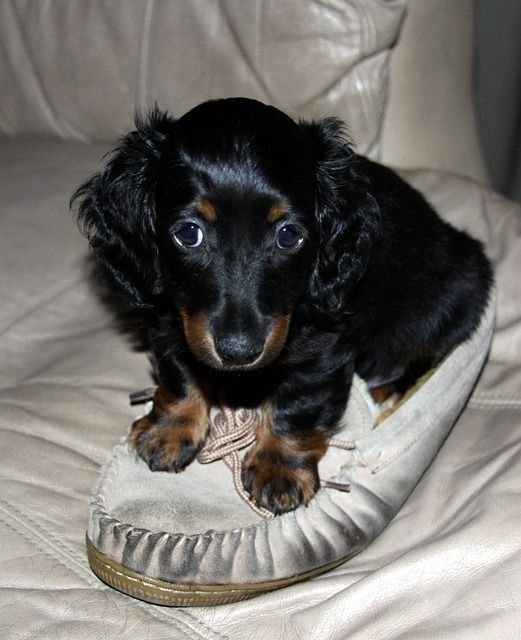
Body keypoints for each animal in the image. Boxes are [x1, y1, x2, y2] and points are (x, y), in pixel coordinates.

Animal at [73, 96, 492, 516]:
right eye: (189, 234)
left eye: (288, 235)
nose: (239, 352)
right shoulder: (172, 320)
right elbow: (179, 372)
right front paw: (170, 429)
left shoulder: (323, 350)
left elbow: (297, 402)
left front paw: (280, 467)